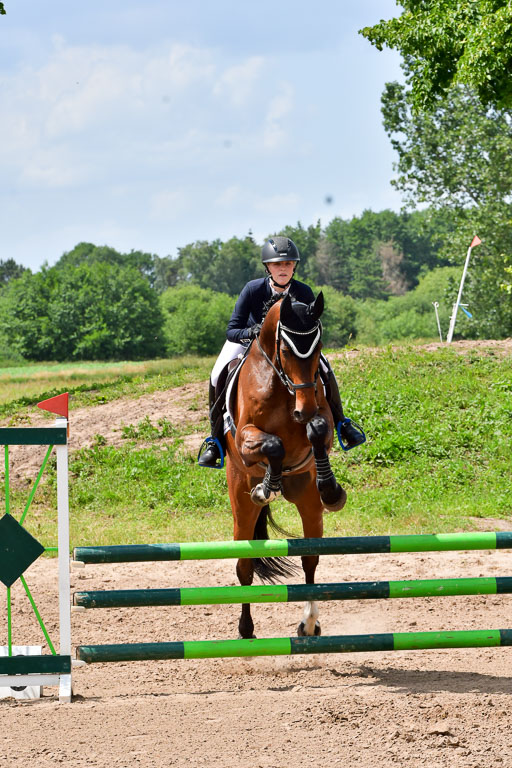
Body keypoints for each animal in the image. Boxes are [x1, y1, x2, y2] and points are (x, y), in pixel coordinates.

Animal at [225, 291, 347, 640]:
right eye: (285, 350)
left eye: (318, 348)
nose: (303, 409)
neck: (281, 386)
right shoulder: (246, 440)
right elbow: (273, 445)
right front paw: (267, 487)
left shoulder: (322, 419)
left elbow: (317, 431)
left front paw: (331, 489)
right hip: (240, 501)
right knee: (244, 566)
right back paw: (246, 629)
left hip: (306, 501)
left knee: (309, 560)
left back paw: (309, 623)